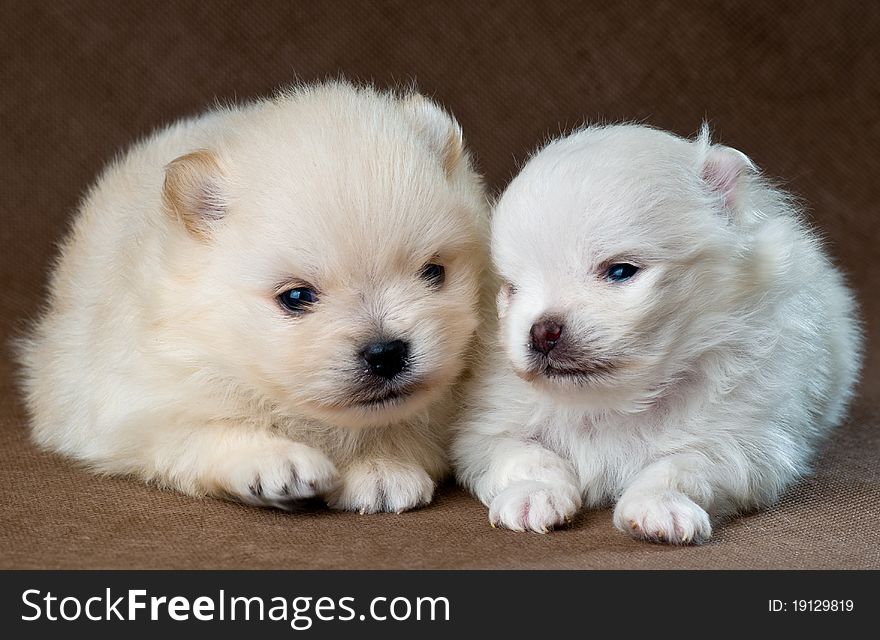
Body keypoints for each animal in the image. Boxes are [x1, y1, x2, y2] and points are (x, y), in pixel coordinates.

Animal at [20, 82, 492, 512]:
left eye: (433, 272)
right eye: (296, 297)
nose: (386, 352)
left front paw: (381, 465)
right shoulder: (134, 405)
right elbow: (207, 428)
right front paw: (275, 461)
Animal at [458, 124, 864, 540]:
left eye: (621, 271)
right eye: (511, 288)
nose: (542, 332)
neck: (613, 402)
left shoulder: (744, 441)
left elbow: (682, 465)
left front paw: (658, 506)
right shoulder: (487, 428)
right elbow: (525, 455)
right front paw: (533, 495)